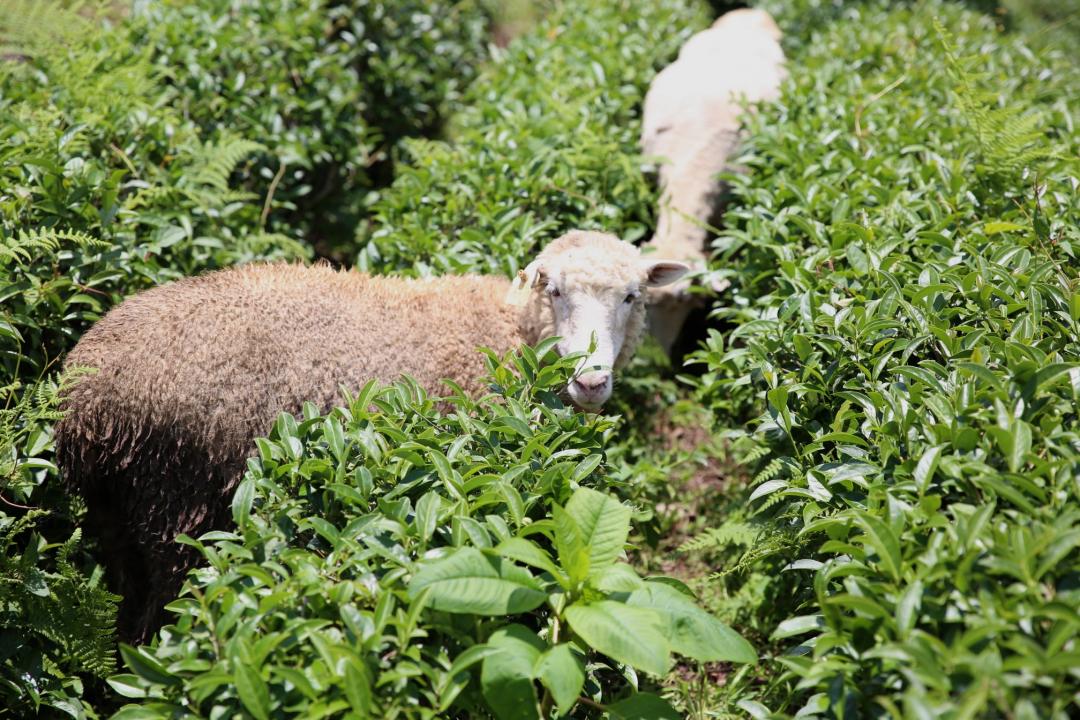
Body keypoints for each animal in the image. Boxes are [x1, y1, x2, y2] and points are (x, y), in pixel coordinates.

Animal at [54, 232, 686, 643]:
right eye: (552, 289)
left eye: (632, 296)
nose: (592, 380)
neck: (509, 333)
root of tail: (86, 397)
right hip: (175, 496)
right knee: (164, 603)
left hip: (116, 508)